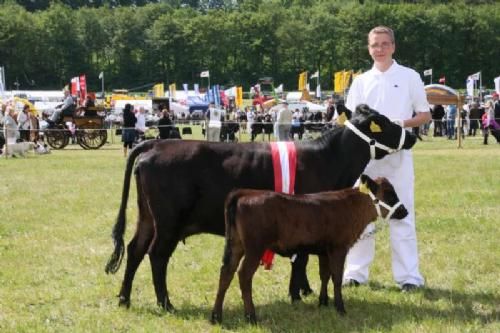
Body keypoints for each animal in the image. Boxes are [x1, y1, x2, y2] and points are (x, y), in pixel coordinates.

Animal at [209, 175, 408, 322]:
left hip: (235, 244)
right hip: (254, 247)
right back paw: (251, 316)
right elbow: (336, 278)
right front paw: (340, 308)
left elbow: (324, 275)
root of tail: (244, 192)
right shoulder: (338, 248)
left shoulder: (324, 251)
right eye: (390, 194)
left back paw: (216, 316)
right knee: (243, 275)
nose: (404, 211)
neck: (350, 207)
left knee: (226, 272)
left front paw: (323, 302)